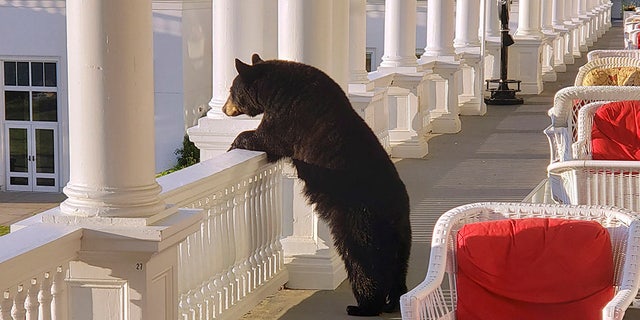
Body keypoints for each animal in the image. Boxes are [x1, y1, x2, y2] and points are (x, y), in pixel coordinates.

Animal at [222, 53, 410, 316]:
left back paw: (364, 305)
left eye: (231, 90)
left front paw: (234, 144)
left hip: (360, 219)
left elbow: (267, 139)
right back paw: (394, 299)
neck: (276, 89)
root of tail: (397, 207)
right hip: (400, 232)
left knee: (363, 258)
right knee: (397, 263)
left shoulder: (289, 115)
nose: (223, 108)